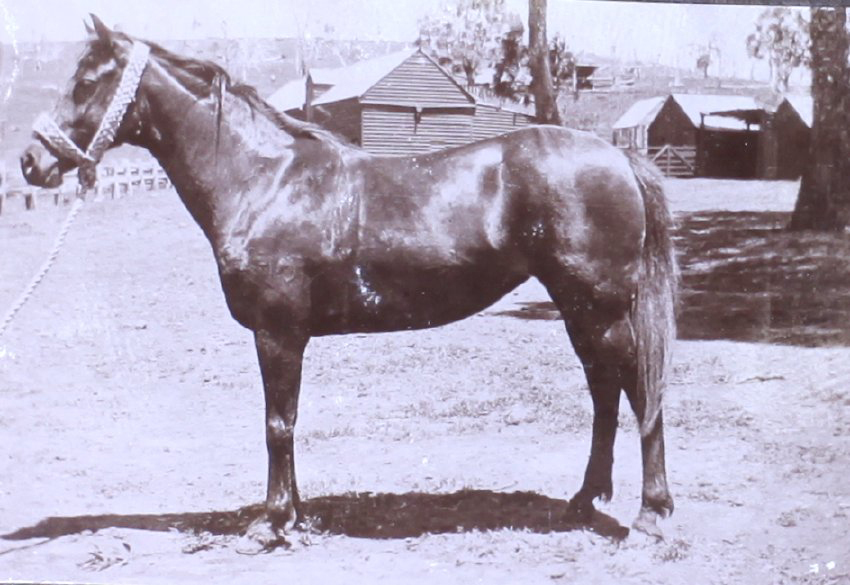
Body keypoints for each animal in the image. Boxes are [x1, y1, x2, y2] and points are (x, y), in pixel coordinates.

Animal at [20, 16, 677, 548]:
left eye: (86, 81)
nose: (31, 162)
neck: (264, 180)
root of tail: (619, 158)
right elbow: (286, 422)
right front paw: (293, 515)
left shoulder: (277, 333)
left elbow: (277, 424)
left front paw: (270, 524)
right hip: (578, 309)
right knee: (604, 392)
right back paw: (583, 502)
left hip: (600, 309)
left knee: (638, 391)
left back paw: (650, 515)